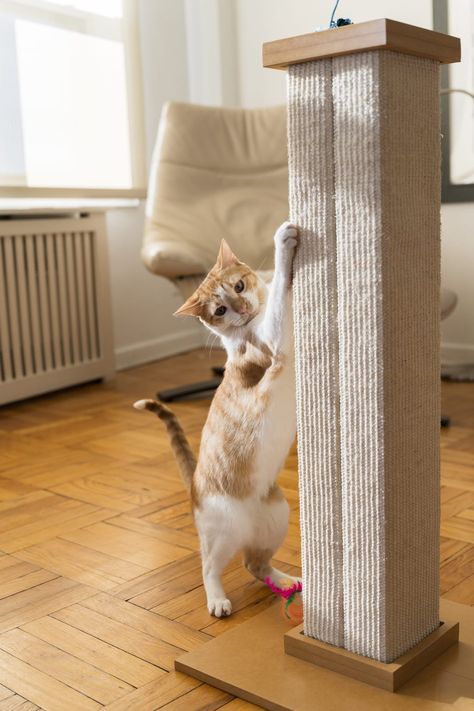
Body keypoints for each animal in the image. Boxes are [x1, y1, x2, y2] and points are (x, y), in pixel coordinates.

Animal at [133, 221, 298, 616]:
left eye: (238, 287)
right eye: (220, 310)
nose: (242, 307)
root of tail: (194, 483)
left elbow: (276, 289)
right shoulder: (273, 341)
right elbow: (281, 292)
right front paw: (283, 242)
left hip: (277, 517)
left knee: (255, 563)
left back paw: (286, 581)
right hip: (223, 533)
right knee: (209, 565)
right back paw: (218, 600)